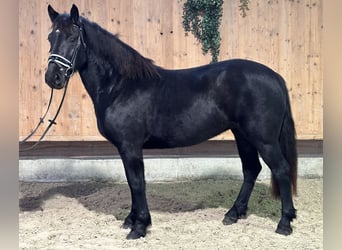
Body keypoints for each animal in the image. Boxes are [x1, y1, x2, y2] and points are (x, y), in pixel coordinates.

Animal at [44, 3, 296, 238]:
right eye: (50, 37)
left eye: (73, 37)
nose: (52, 77)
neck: (120, 86)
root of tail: (275, 76)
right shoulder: (126, 148)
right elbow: (131, 182)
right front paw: (131, 220)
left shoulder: (130, 146)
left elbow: (137, 182)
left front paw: (139, 226)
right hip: (243, 135)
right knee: (251, 169)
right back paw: (233, 214)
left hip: (264, 140)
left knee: (281, 169)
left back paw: (284, 223)